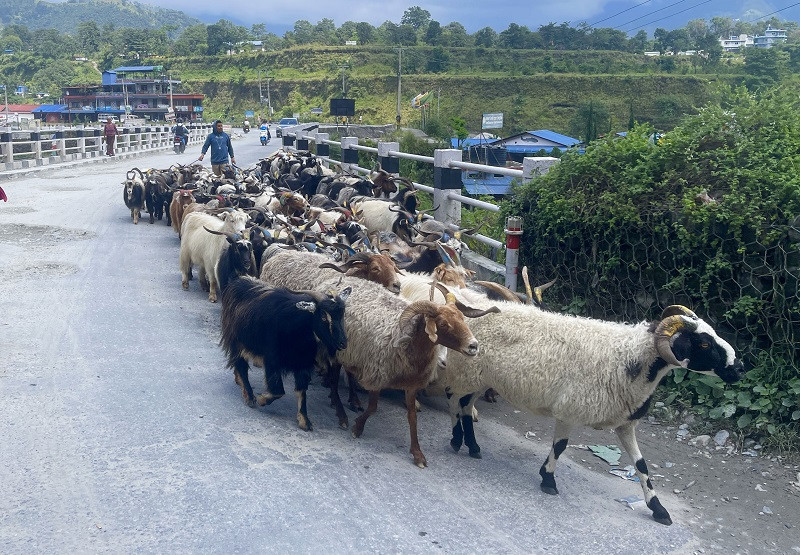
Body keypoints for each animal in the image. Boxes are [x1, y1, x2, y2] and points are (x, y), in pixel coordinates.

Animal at [222, 276, 354, 430]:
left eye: (342, 314)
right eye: (323, 316)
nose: (343, 343)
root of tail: (238, 282)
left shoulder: (303, 363)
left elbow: (301, 390)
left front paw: (304, 420)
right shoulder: (272, 358)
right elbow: (278, 390)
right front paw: (262, 399)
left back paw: (239, 382)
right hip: (236, 339)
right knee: (241, 364)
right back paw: (249, 396)